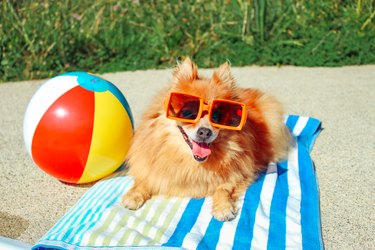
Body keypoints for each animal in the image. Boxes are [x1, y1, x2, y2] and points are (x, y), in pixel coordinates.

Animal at [123, 57, 290, 221]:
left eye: (216, 116)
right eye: (188, 113)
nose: (205, 132)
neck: (193, 163)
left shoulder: (240, 173)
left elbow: (224, 187)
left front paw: (223, 207)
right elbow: (146, 177)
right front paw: (134, 194)